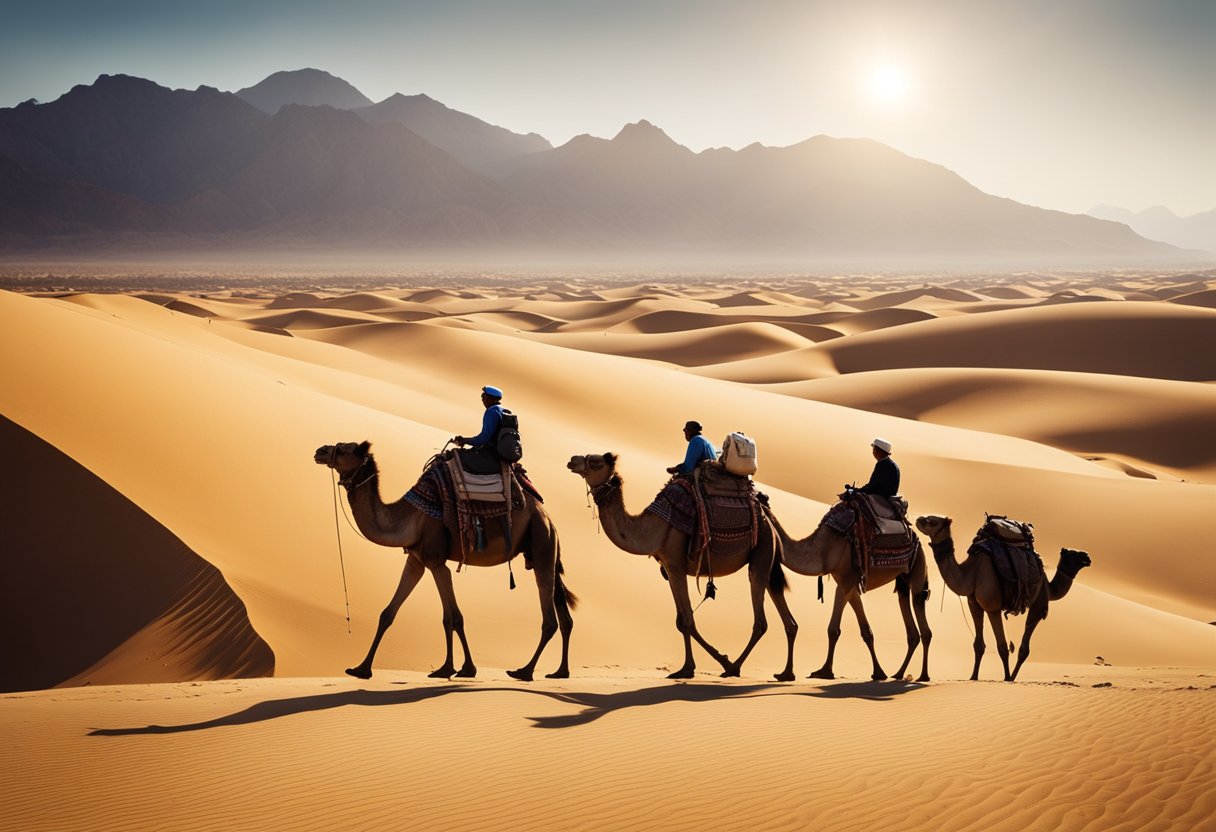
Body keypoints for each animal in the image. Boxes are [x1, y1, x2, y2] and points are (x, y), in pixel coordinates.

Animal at [318, 442, 573, 681]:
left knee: (549, 619)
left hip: (541, 542)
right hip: (544, 549)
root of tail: (548, 518)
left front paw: (454, 668)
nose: (320, 451)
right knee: (564, 616)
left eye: (345, 449)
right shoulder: (416, 561)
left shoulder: (437, 562)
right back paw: (560, 672)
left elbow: (452, 617)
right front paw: (361, 669)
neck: (411, 517)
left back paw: (524, 671)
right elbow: (388, 614)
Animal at [566, 454, 797, 681]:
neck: (655, 528)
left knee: (761, 622)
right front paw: (694, 666)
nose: (572, 460)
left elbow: (687, 621)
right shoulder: (669, 569)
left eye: (595, 462)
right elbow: (681, 621)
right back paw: (786, 673)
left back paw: (734, 668)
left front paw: (695, 667)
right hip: (766, 560)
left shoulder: (676, 566)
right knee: (787, 617)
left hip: (761, 551)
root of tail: (768, 517)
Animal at [768, 501, 929, 681]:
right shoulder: (849, 584)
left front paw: (826, 671)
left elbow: (834, 629)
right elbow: (863, 631)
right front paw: (877, 672)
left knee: (922, 617)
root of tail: (915, 536)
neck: (823, 549)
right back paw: (899, 673)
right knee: (911, 627)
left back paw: (923, 676)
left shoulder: (845, 580)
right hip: (902, 581)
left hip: (918, 565)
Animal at [914, 513, 1094, 681]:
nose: (1086, 556)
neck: (971, 573)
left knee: (1022, 648)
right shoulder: (974, 604)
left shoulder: (1002, 608)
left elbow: (1005, 647)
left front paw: (1007, 678)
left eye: (932, 521)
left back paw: (1012, 677)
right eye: (1072, 554)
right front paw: (973, 677)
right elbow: (979, 645)